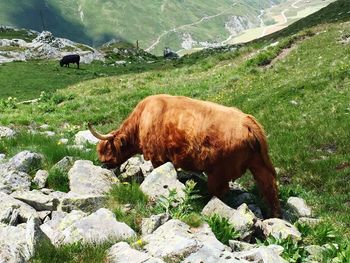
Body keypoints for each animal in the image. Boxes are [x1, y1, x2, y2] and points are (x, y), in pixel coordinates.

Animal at [88, 94, 282, 218]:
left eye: (106, 150)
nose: (102, 164)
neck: (141, 121)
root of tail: (247, 121)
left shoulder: (158, 158)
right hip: (258, 163)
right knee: (269, 187)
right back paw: (275, 216)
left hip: (218, 172)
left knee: (221, 192)